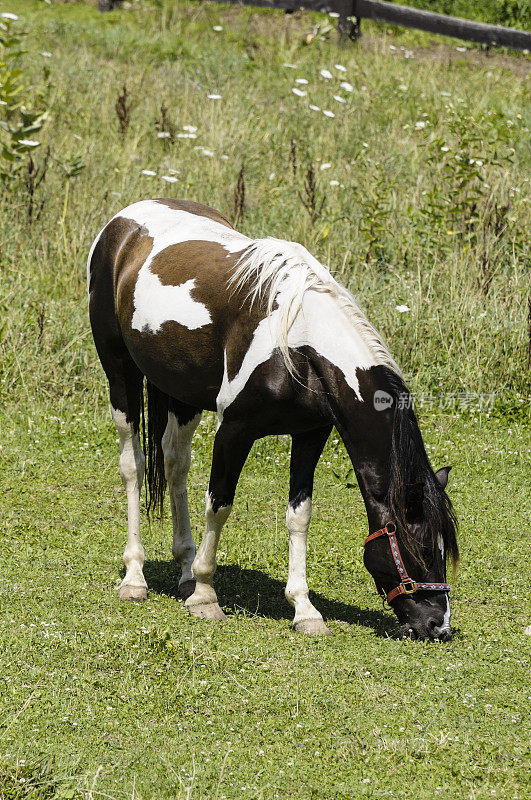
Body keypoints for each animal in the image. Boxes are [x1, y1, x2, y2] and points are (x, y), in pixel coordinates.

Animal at [87, 197, 458, 640]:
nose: (438, 625)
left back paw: (184, 570)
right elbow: (219, 504)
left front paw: (304, 609)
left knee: (175, 464)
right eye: (422, 548)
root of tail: (123, 221)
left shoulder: (311, 433)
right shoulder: (234, 429)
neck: (297, 343)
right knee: (135, 466)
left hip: (181, 394)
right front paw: (206, 597)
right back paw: (136, 577)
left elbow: (299, 516)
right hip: (120, 375)